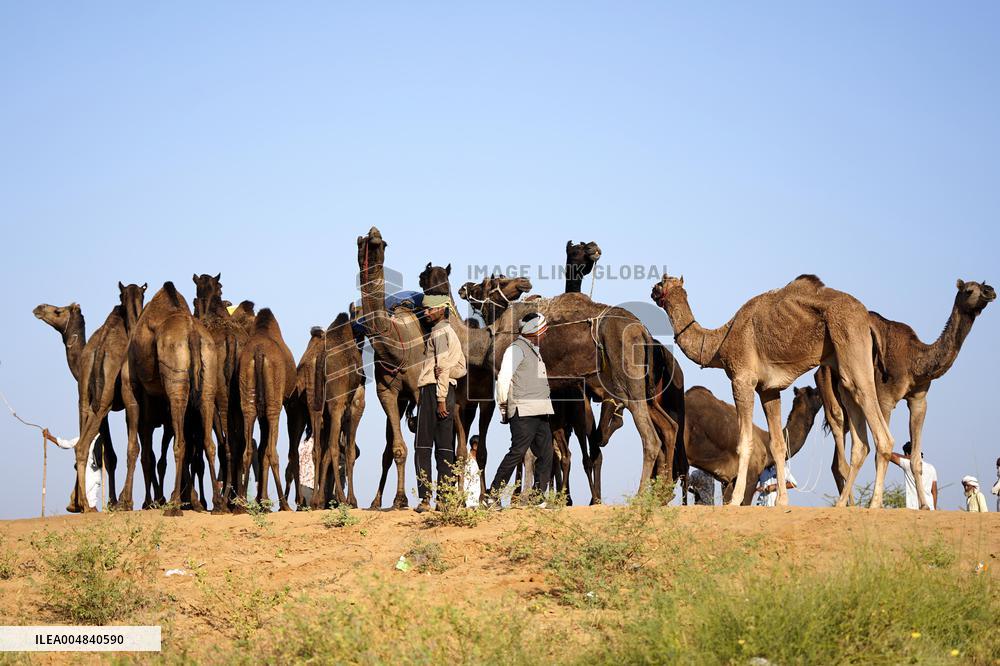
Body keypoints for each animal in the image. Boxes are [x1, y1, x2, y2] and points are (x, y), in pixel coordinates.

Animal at [122, 282, 222, 516]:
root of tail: (192, 332)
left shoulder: (130, 385)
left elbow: (133, 448)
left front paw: (125, 502)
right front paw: (194, 502)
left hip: (176, 379)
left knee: (180, 444)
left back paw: (174, 506)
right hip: (207, 378)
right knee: (207, 442)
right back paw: (218, 504)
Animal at [237, 308, 296, 511]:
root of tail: (259, 353)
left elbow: (259, 450)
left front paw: (261, 501)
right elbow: (266, 451)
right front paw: (264, 502)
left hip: (248, 395)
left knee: (248, 450)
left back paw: (241, 504)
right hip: (273, 403)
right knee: (272, 452)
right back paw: (284, 504)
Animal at [817, 279, 995, 508]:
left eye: (983, 285)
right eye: (969, 290)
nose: (991, 291)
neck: (915, 361)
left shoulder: (919, 400)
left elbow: (915, 460)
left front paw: (925, 506)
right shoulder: (885, 399)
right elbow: (881, 450)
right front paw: (876, 504)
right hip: (830, 394)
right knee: (839, 437)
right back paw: (845, 504)